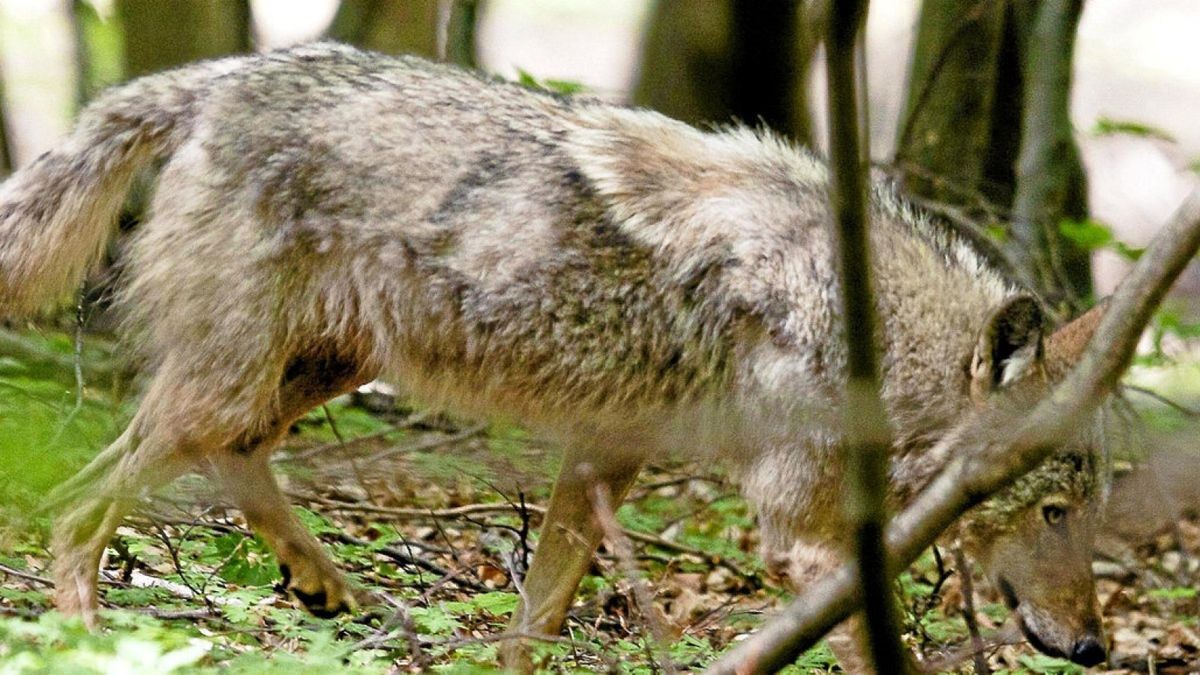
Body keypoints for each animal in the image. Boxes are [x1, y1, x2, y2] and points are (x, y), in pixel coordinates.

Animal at [0, 43, 1104, 667]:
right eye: (1054, 511)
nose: (1096, 646)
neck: (859, 317)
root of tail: (221, 75)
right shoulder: (793, 532)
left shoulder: (606, 458)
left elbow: (537, 619)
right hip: (236, 386)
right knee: (79, 504)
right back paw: (87, 641)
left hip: (307, 375)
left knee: (226, 467)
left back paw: (329, 586)